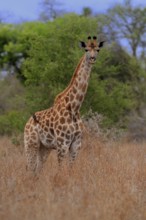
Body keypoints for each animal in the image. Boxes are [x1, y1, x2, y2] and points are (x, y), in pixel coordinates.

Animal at [24, 36, 104, 174]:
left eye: (98, 49)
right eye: (86, 49)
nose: (93, 58)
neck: (74, 107)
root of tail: (27, 123)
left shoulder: (76, 145)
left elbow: (70, 171)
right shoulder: (62, 144)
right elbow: (60, 171)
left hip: (44, 147)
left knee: (37, 171)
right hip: (31, 143)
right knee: (30, 170)